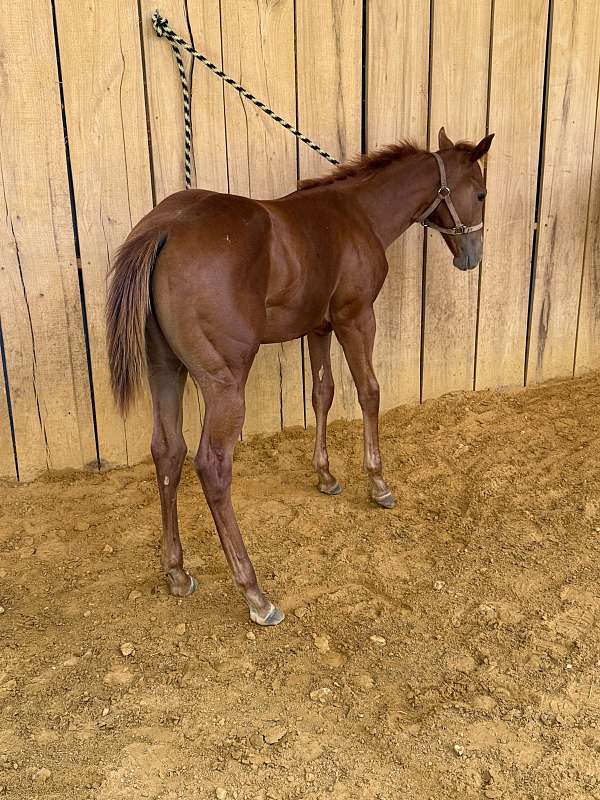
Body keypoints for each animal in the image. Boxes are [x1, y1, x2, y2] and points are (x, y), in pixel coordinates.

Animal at [106, 127, 494, 626]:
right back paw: (254, 593)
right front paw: (378, 483)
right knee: (212, 465)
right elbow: (369, 391)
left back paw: (177, 571)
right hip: (224, 383)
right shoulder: (355, 319)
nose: (472, 257)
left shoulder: (318, 328)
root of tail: (163, 228)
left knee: (167, 452)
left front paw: (325, 476)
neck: (357, 214)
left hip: (164, 369)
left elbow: (322, 394)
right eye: (480, 192)